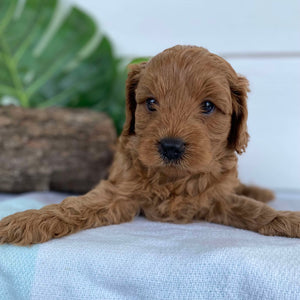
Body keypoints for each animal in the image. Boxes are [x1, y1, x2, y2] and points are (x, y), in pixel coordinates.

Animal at [0, 45, 300, 246]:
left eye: (207, 106)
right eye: (151, 103)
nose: (171, 147)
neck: (173, 179)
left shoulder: (217, 198)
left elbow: (253, 210)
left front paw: (288, 219)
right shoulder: (119, 192)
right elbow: (74, 206)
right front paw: (26, 221)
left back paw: (260, 191)